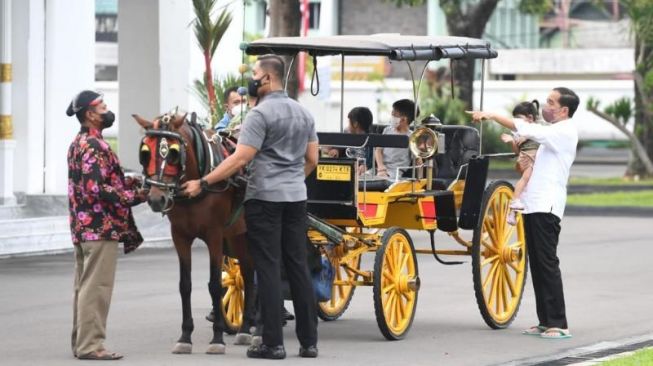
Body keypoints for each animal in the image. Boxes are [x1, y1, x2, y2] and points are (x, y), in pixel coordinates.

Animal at [132, 111, 255, 354]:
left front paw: (217, 338)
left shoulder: (215, 235)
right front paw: (185, 336)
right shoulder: (180, 236)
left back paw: (254, 328)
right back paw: (246, 326)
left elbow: (214, 285)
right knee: (247, 274)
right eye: (145, 152)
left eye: (173, 153)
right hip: (236, 235)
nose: (156, 199)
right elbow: (185, 285)